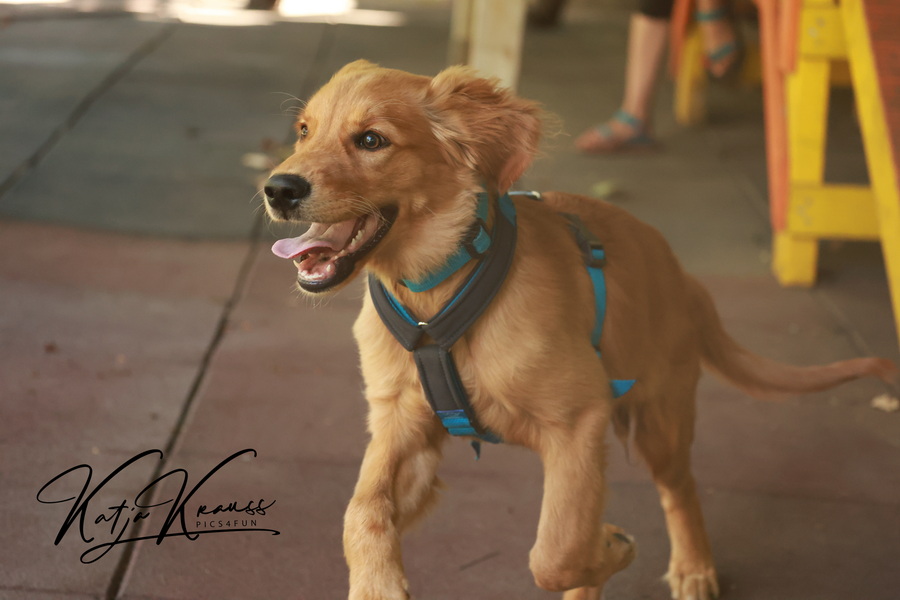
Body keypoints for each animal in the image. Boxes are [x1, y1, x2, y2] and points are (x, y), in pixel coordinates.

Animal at [260, 61, 892, 600]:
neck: (434, 298)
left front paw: (613, 548)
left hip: (659, 420)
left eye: (372, 140)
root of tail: (684, 278)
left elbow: (556, 552)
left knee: (678, 488)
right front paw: (378, 584)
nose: (278, 189)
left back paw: (692, 566)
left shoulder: (578, 422)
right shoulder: (403, 425)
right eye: (303, 131)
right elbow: (361, 512)